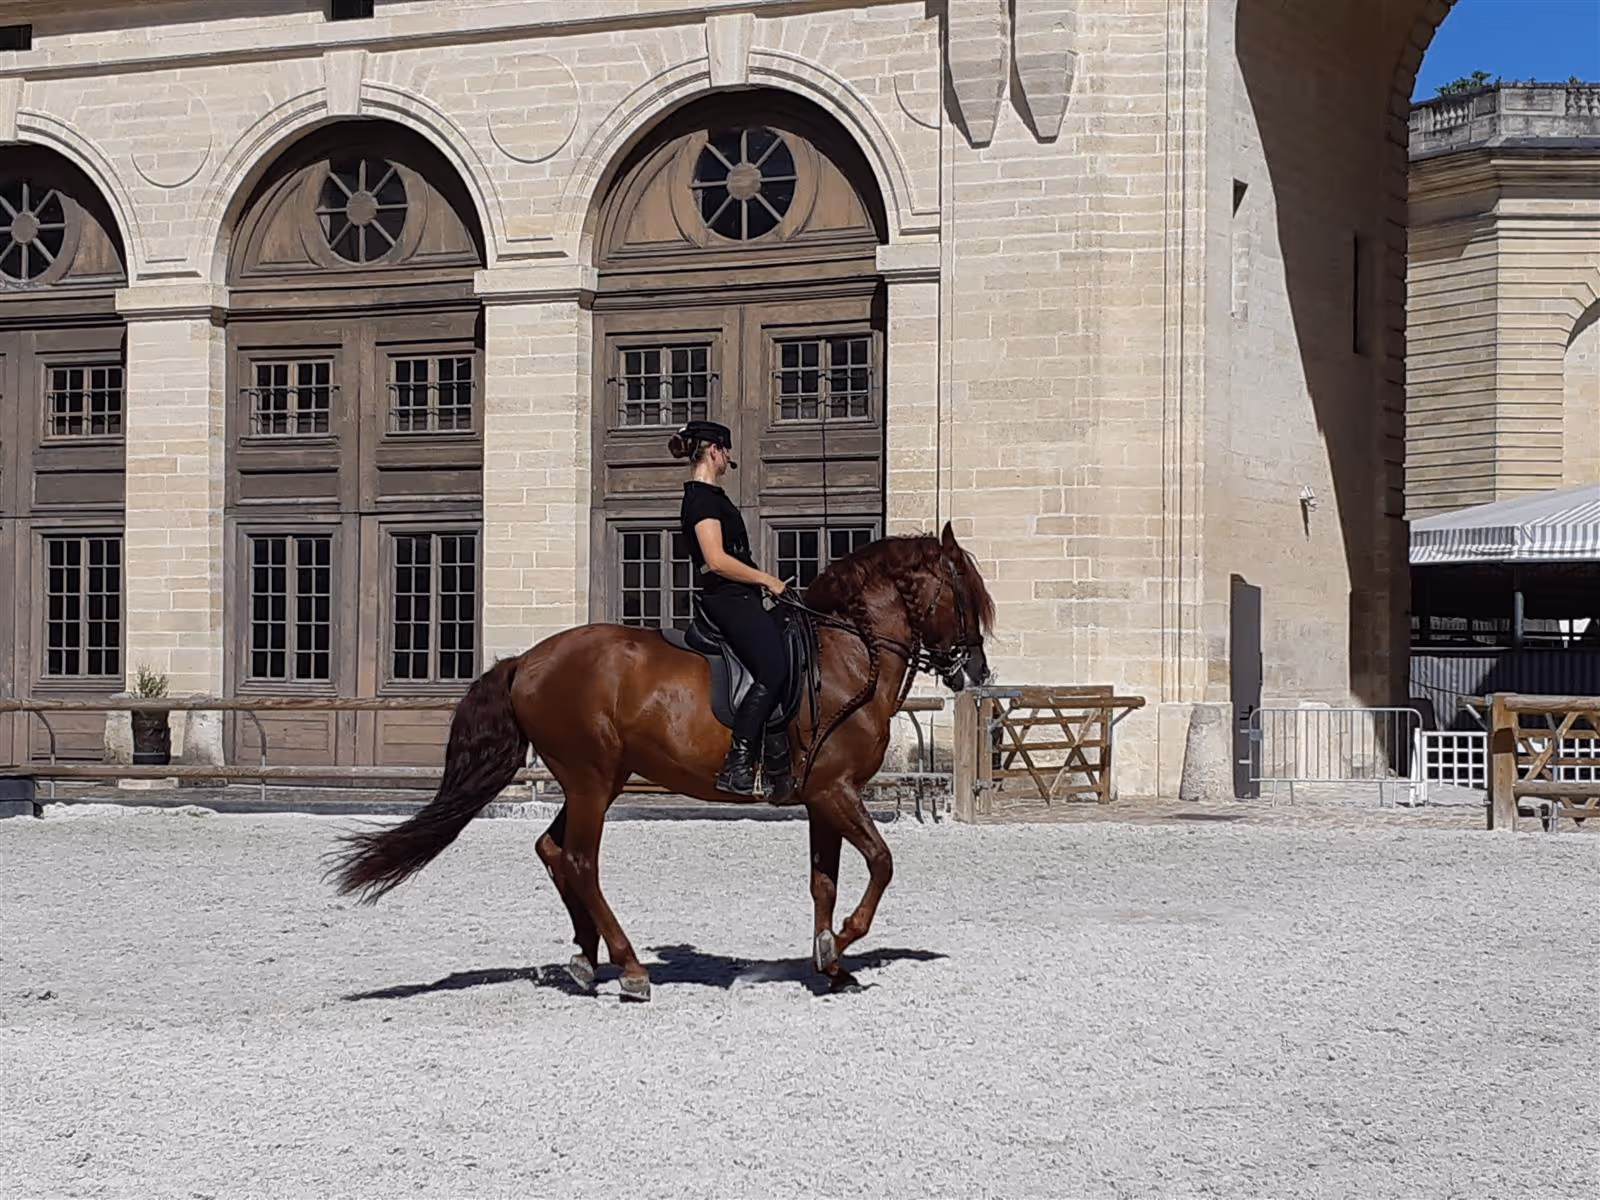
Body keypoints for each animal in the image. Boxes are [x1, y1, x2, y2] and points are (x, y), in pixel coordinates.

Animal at [326, 522, 995, 1000]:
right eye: (966, 596)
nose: (978, 673)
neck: (848, 655)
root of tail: (527, 660)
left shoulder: (822, 797)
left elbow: (822, 882)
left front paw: (830, 961)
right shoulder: (835, 790)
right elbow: (882, 863)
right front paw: (842, 946)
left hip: (599, 778)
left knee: (553, 850)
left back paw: (584, 958)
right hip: (591, 779)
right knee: (580, 859)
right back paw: (629, 969)